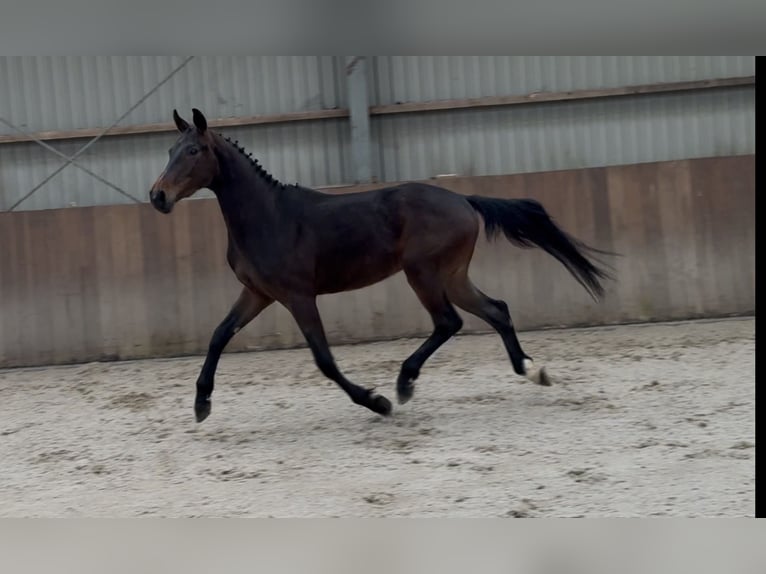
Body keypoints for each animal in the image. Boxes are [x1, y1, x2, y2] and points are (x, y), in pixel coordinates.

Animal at [149, 108, 612, 423]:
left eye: (193, 151)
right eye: (169, 149)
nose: (157, 197)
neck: (269, 217)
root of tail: (464, 201)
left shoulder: (298, 296)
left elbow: (324, 360)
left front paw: (377, 402)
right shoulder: (258, 293)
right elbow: (218, 336)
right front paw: (201, 403)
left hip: (422, 273)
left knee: (449, 321)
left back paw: (404, 383)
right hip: (452, 275)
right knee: (496, 309)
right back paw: (532, 370)